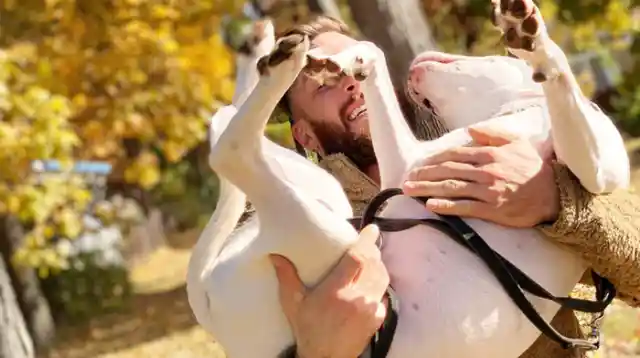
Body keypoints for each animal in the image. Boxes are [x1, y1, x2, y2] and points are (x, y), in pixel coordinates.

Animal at [189, 0, 632, 356]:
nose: (416, 86)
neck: (521, 113)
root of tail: (207, 301)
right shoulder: (405, 161)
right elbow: (375, 53)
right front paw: (348, 61)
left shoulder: (595, 167)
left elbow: (560, 75)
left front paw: (533, 40)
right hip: (326, 214)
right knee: (226, 134)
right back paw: (264, 54)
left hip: (325, 226)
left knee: (230, 148)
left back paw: (269, 57)